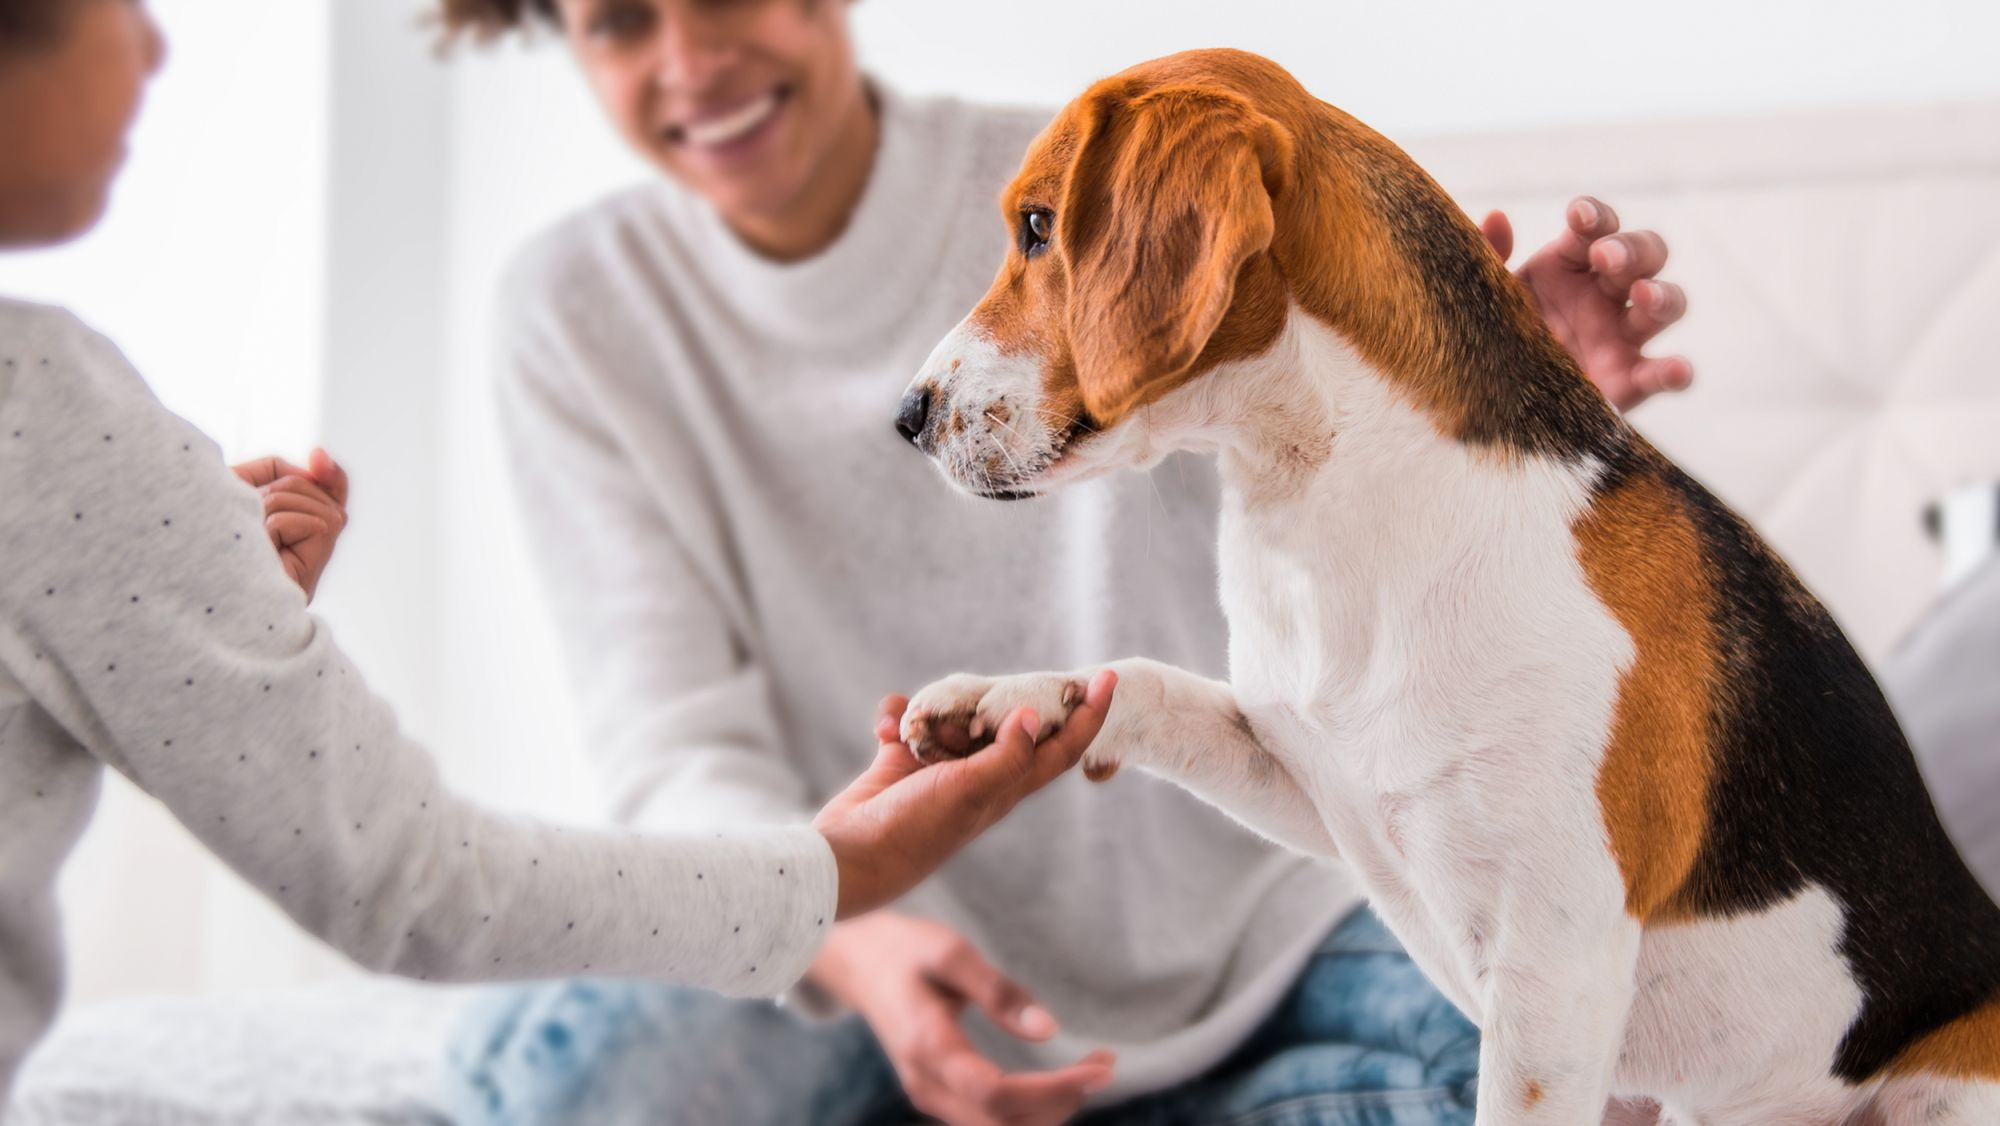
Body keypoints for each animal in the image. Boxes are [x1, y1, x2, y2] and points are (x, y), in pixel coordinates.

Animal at [896, 48, 2000, 1120]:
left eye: (1038, 228)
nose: (906, 416)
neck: (1329, 496)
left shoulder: (1552, 979)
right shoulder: (1314, 785)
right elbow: (1144, 682)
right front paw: (1003, 701)